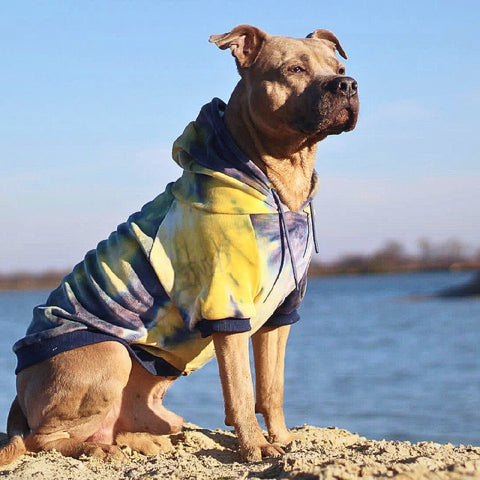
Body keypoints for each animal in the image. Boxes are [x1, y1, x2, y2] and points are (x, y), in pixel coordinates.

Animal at [0, 24, 358, 464]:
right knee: (40, 439)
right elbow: (242, 389)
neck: (280, 180)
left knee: (116, 426)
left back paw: (140, 442)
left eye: (339, 68)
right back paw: (99, 451)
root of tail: (19, 400)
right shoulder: (225, 306)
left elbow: (272, 387)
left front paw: (284, 439)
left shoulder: (281, 313)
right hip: (108, 356)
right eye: (294, 69)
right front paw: (255, 446)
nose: (347, 84)